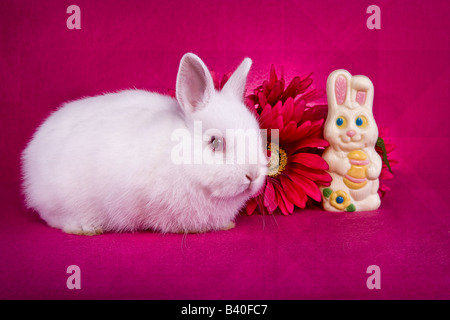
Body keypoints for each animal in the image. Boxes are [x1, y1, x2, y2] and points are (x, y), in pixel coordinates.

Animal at [320, 69, 380, 211]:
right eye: (339, 121)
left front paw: (371, 170)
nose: (351, 132)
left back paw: (369, 203)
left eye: (359, 121)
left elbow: (378, 163)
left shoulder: (373, 153)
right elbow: (330, 160)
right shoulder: (329, 153)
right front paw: (344, 164)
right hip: (333, 185)